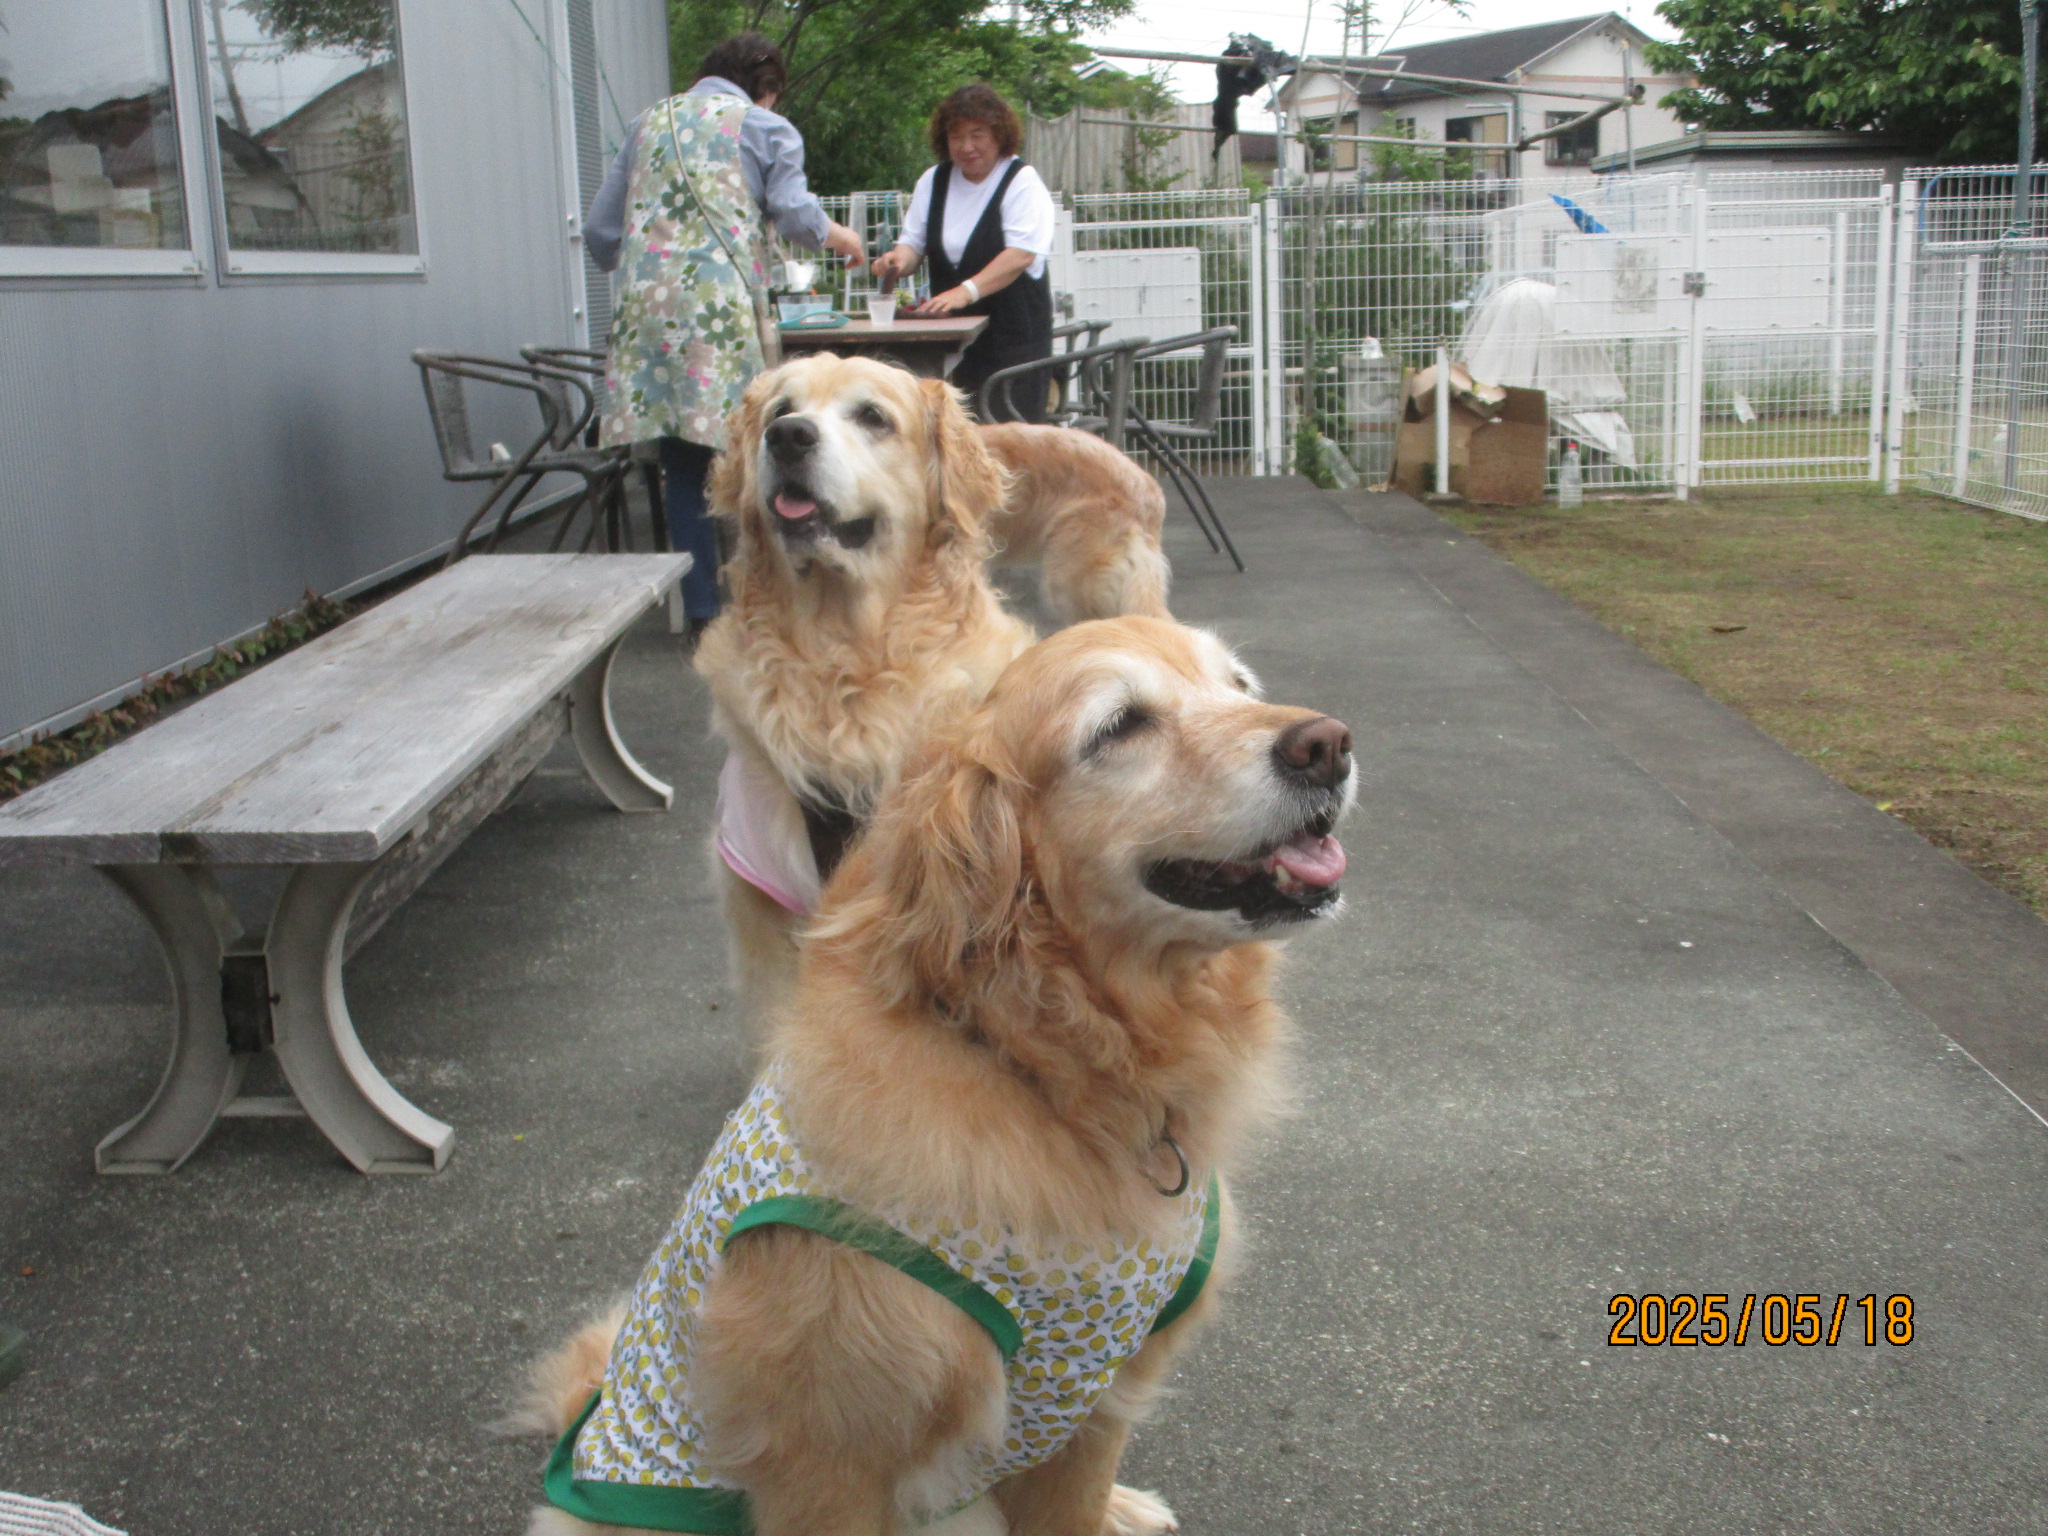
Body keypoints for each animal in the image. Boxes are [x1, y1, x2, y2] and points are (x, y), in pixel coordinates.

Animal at [522, 616, 1355, 1536]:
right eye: (1119, 726)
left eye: (1240, 685)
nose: (1327, 745)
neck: (1040, 1064)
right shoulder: (828, 1452)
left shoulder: (1098, 1405)